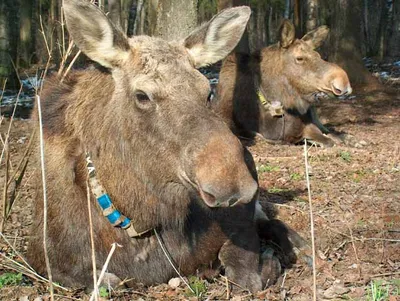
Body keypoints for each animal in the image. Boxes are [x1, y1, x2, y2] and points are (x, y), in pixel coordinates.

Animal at [27, 0, 296, 292]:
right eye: (142, 95)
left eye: (207, 92)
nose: (233, 183)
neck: (138, 220)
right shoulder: (45, 260)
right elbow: (106, 279)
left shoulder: (239, 217)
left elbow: (245, 273)